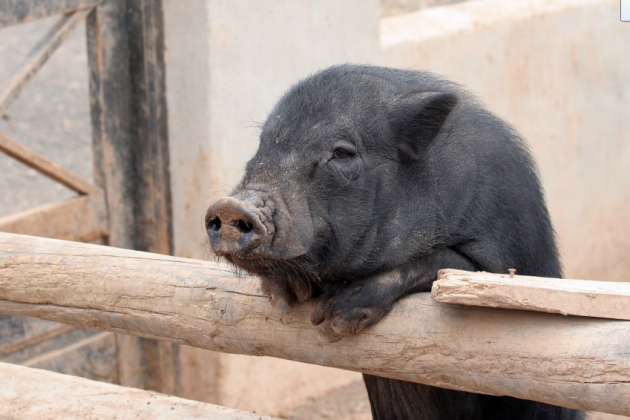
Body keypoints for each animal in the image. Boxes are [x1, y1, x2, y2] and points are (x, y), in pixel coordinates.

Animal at [205, 65, 584, 420]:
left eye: (341, 154)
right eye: (263, 145)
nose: (230, 206)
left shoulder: (505, 251)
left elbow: (450, 264)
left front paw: (334, 321)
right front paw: (286, 297)